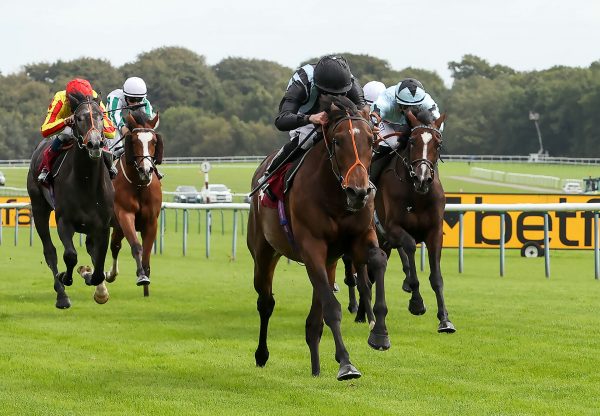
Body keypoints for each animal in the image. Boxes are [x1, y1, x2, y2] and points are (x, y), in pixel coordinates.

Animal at [26, 94, 115, 308]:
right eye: (79, 118)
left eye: (101, 117)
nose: (94, 144)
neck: (87, 183)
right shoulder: (63, 221)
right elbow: (70, 255)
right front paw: (66, 276)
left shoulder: (103, 225)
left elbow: (99, 265)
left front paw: (93, 281)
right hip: (39, 208)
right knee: (50, 251)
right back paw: (62, 295)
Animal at [103, 109, 163, 298]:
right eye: (135, 141)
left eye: (154, 141)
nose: (146, 170)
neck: (139, 185)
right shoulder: (125, 214)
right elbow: (137, 247)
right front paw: (142, 276)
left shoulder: (151, 221)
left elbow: (147, 252)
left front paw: (146, 282)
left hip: (117, 226)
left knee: (115, 245)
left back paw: (111, 274)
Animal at [247, 96, 392, 382]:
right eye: (337, 141)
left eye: (371, 141)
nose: (358, 191)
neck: (334, 197)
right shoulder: (311, 247)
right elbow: (332, 308)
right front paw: (346, 363)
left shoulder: (358, 238)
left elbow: (378, 261)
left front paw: (379, 333)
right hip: (264, 251)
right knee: (266, 302)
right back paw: (262, 354)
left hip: (329, 262)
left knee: (314, 320)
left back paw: (315, 367)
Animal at [370, 109, 454, 332]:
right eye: (412, 141)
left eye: (438, 143)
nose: (422, 178)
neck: (417, 196)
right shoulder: (392, 228)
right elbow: (408, 247)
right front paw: (416, 302)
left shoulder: (435, 231)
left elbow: (437, 277)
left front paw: (445, 319)